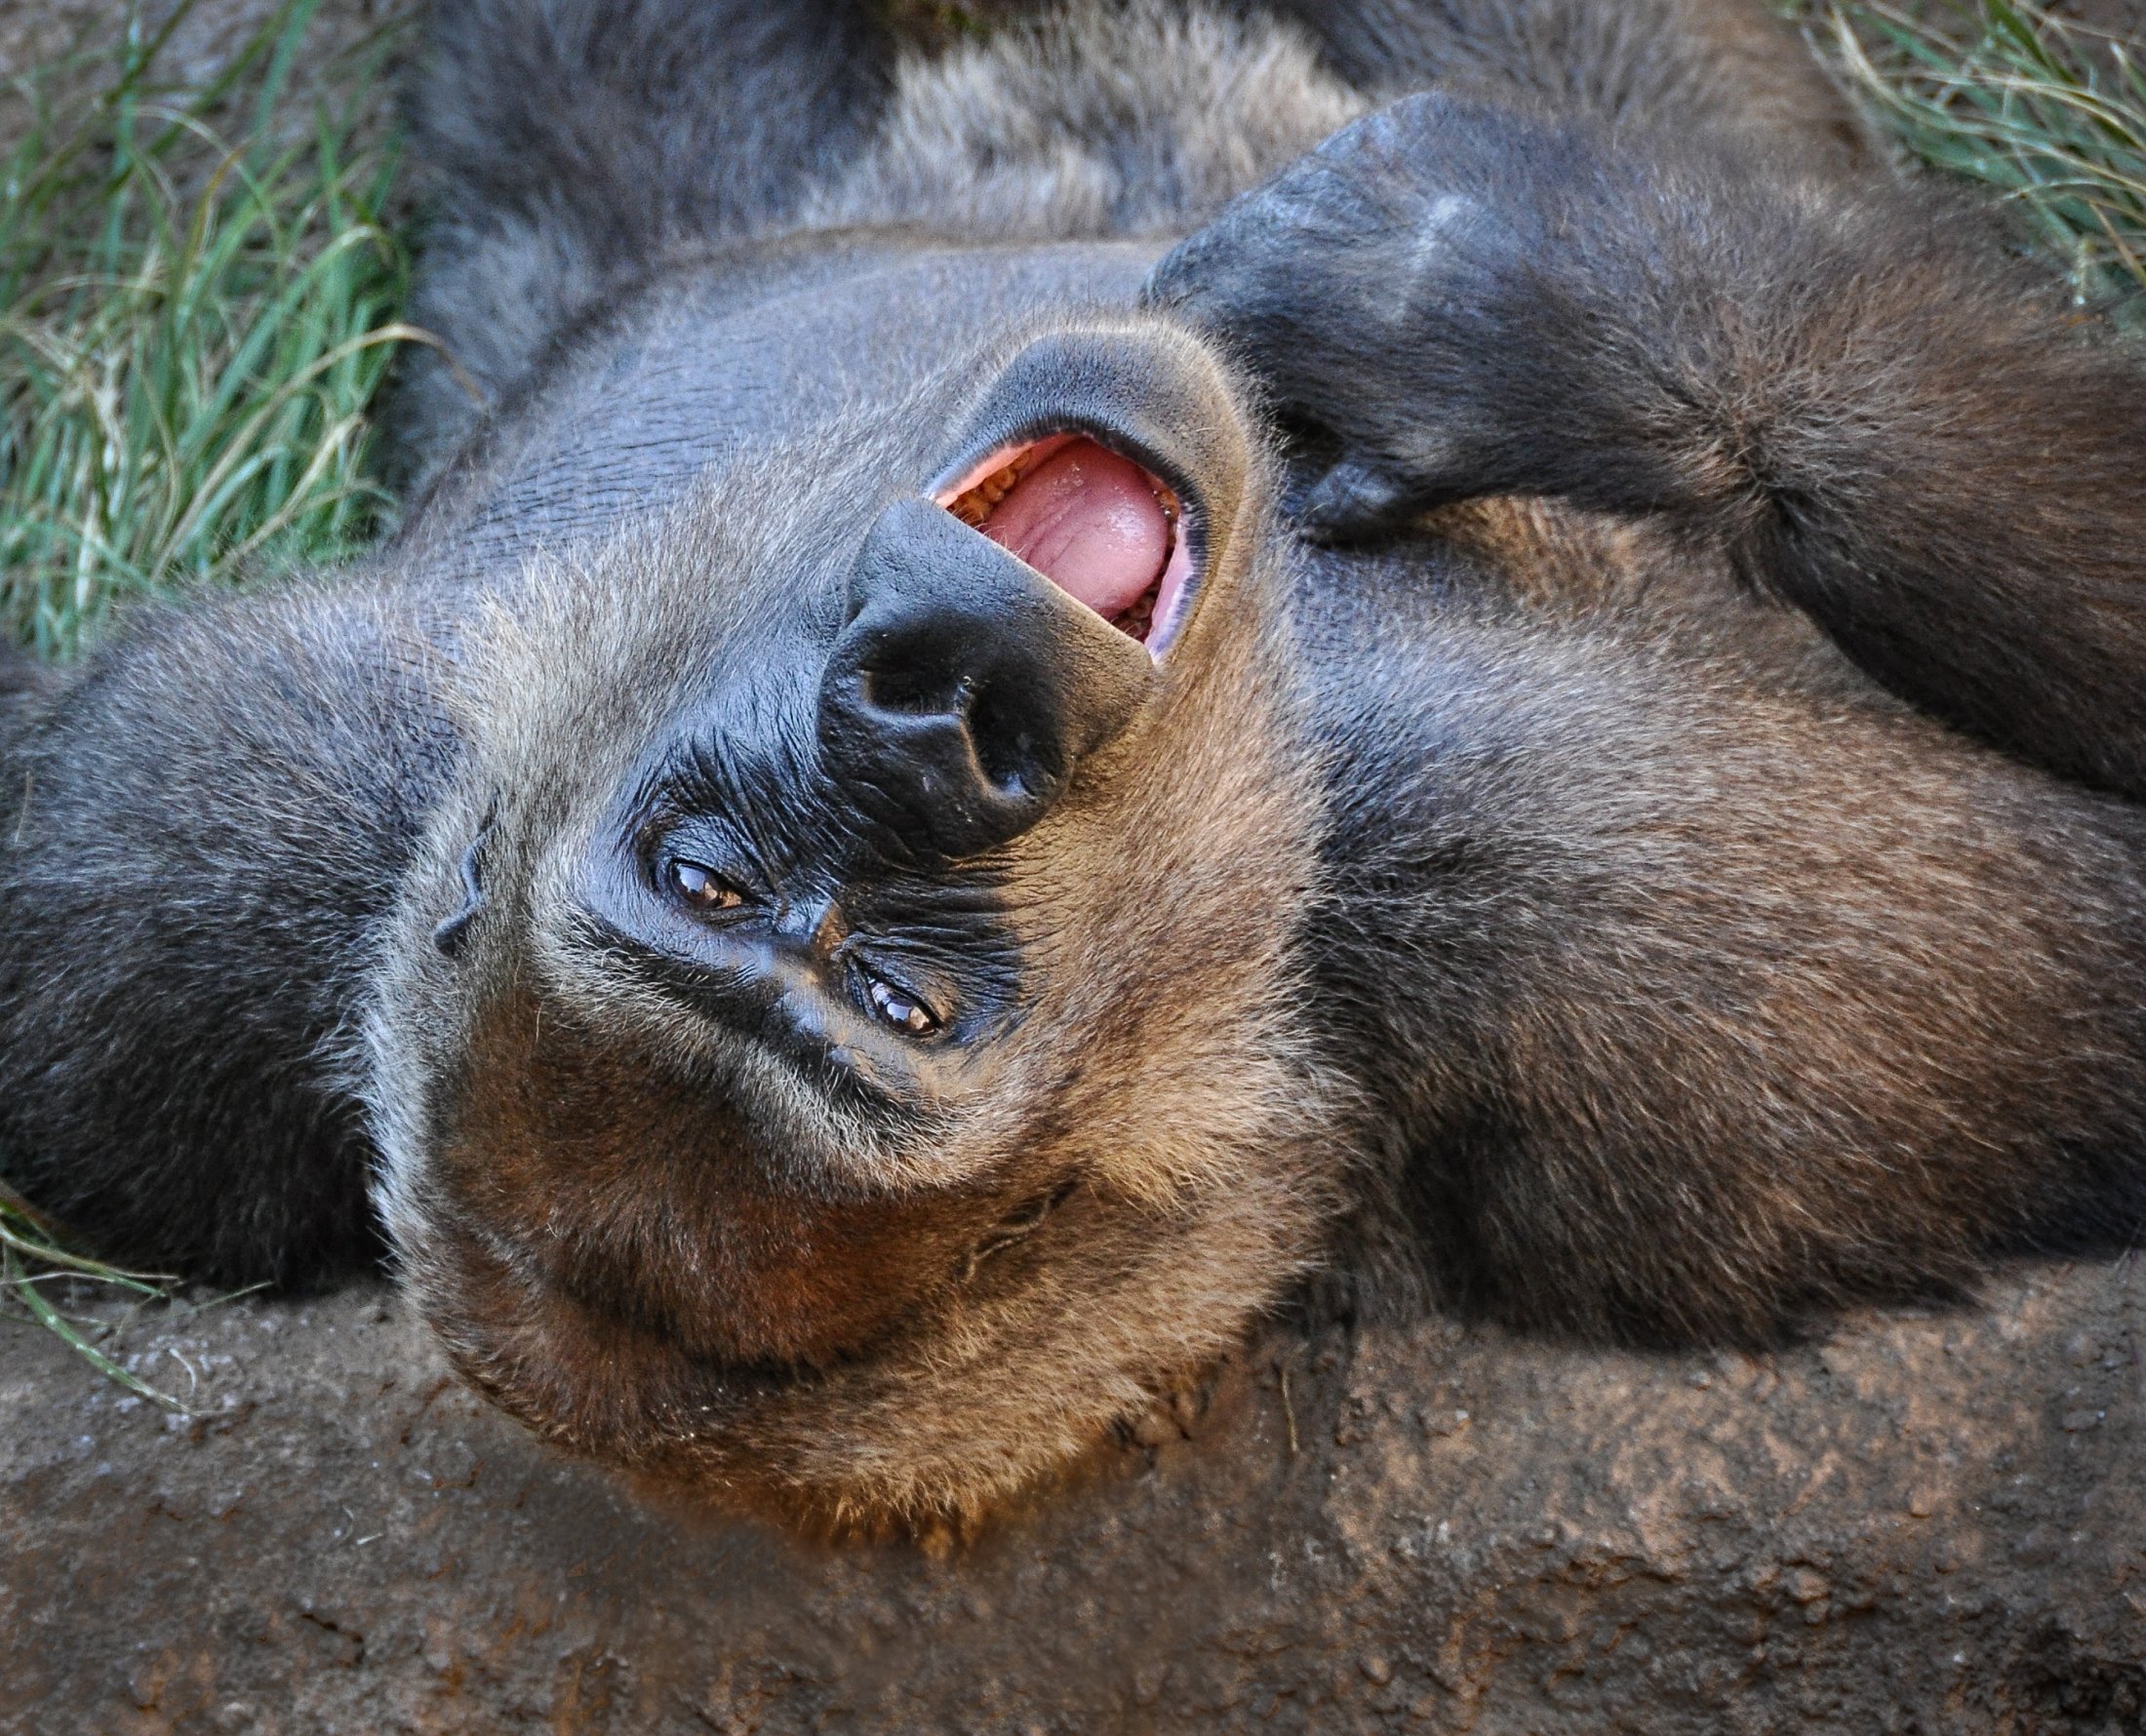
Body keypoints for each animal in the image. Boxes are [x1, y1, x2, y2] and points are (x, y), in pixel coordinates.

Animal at [4, 0, 2146, 1522]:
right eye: (904, 994)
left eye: (715, 879)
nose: (941, 716)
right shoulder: (1572, 883)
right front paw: (1544, 319)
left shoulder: (223, 850)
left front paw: (1509, 319)